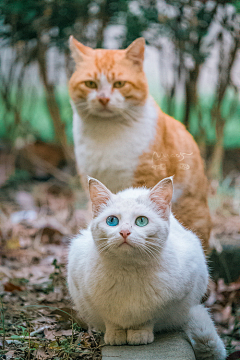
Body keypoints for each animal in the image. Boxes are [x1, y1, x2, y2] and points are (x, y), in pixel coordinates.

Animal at [67, 177, 225, 360]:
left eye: (141, 221)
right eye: (112, 221)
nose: (124, 232)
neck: (128, 272)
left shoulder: (169, 301)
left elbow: (147, 319)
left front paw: (139, 335)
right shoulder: (91, 297)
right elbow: (111, 320)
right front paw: (115, 334)